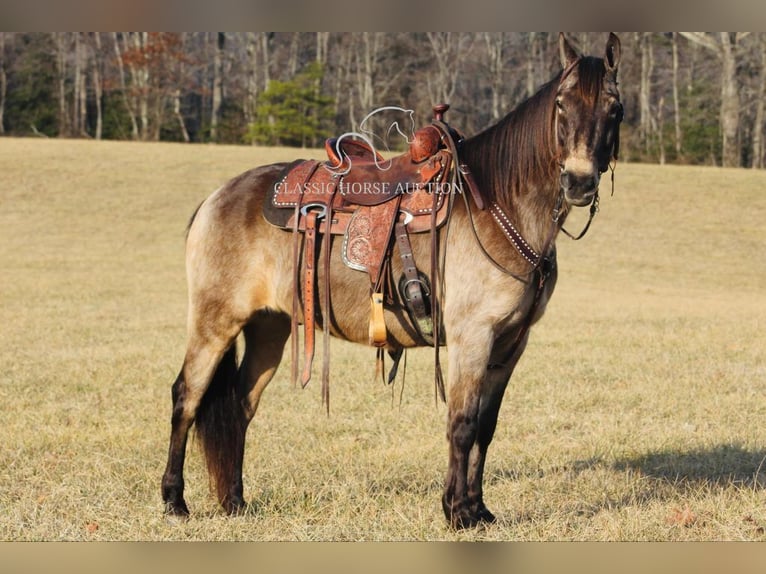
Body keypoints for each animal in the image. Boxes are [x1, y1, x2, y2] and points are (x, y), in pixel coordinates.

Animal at [160, 32, 624, 532]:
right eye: (561, 104)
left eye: (615, 108)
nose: (578, 182)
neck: (498, 205)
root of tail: (217, 197)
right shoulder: (472, 337)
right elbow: (462, 424)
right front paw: (457, 511)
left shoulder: (510, 344)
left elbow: (486, 426)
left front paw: (479, 509)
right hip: (215, 322)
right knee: (187, 397)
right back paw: (174, 501)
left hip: (269, 327)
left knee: (241, 406)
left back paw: (234, 501)